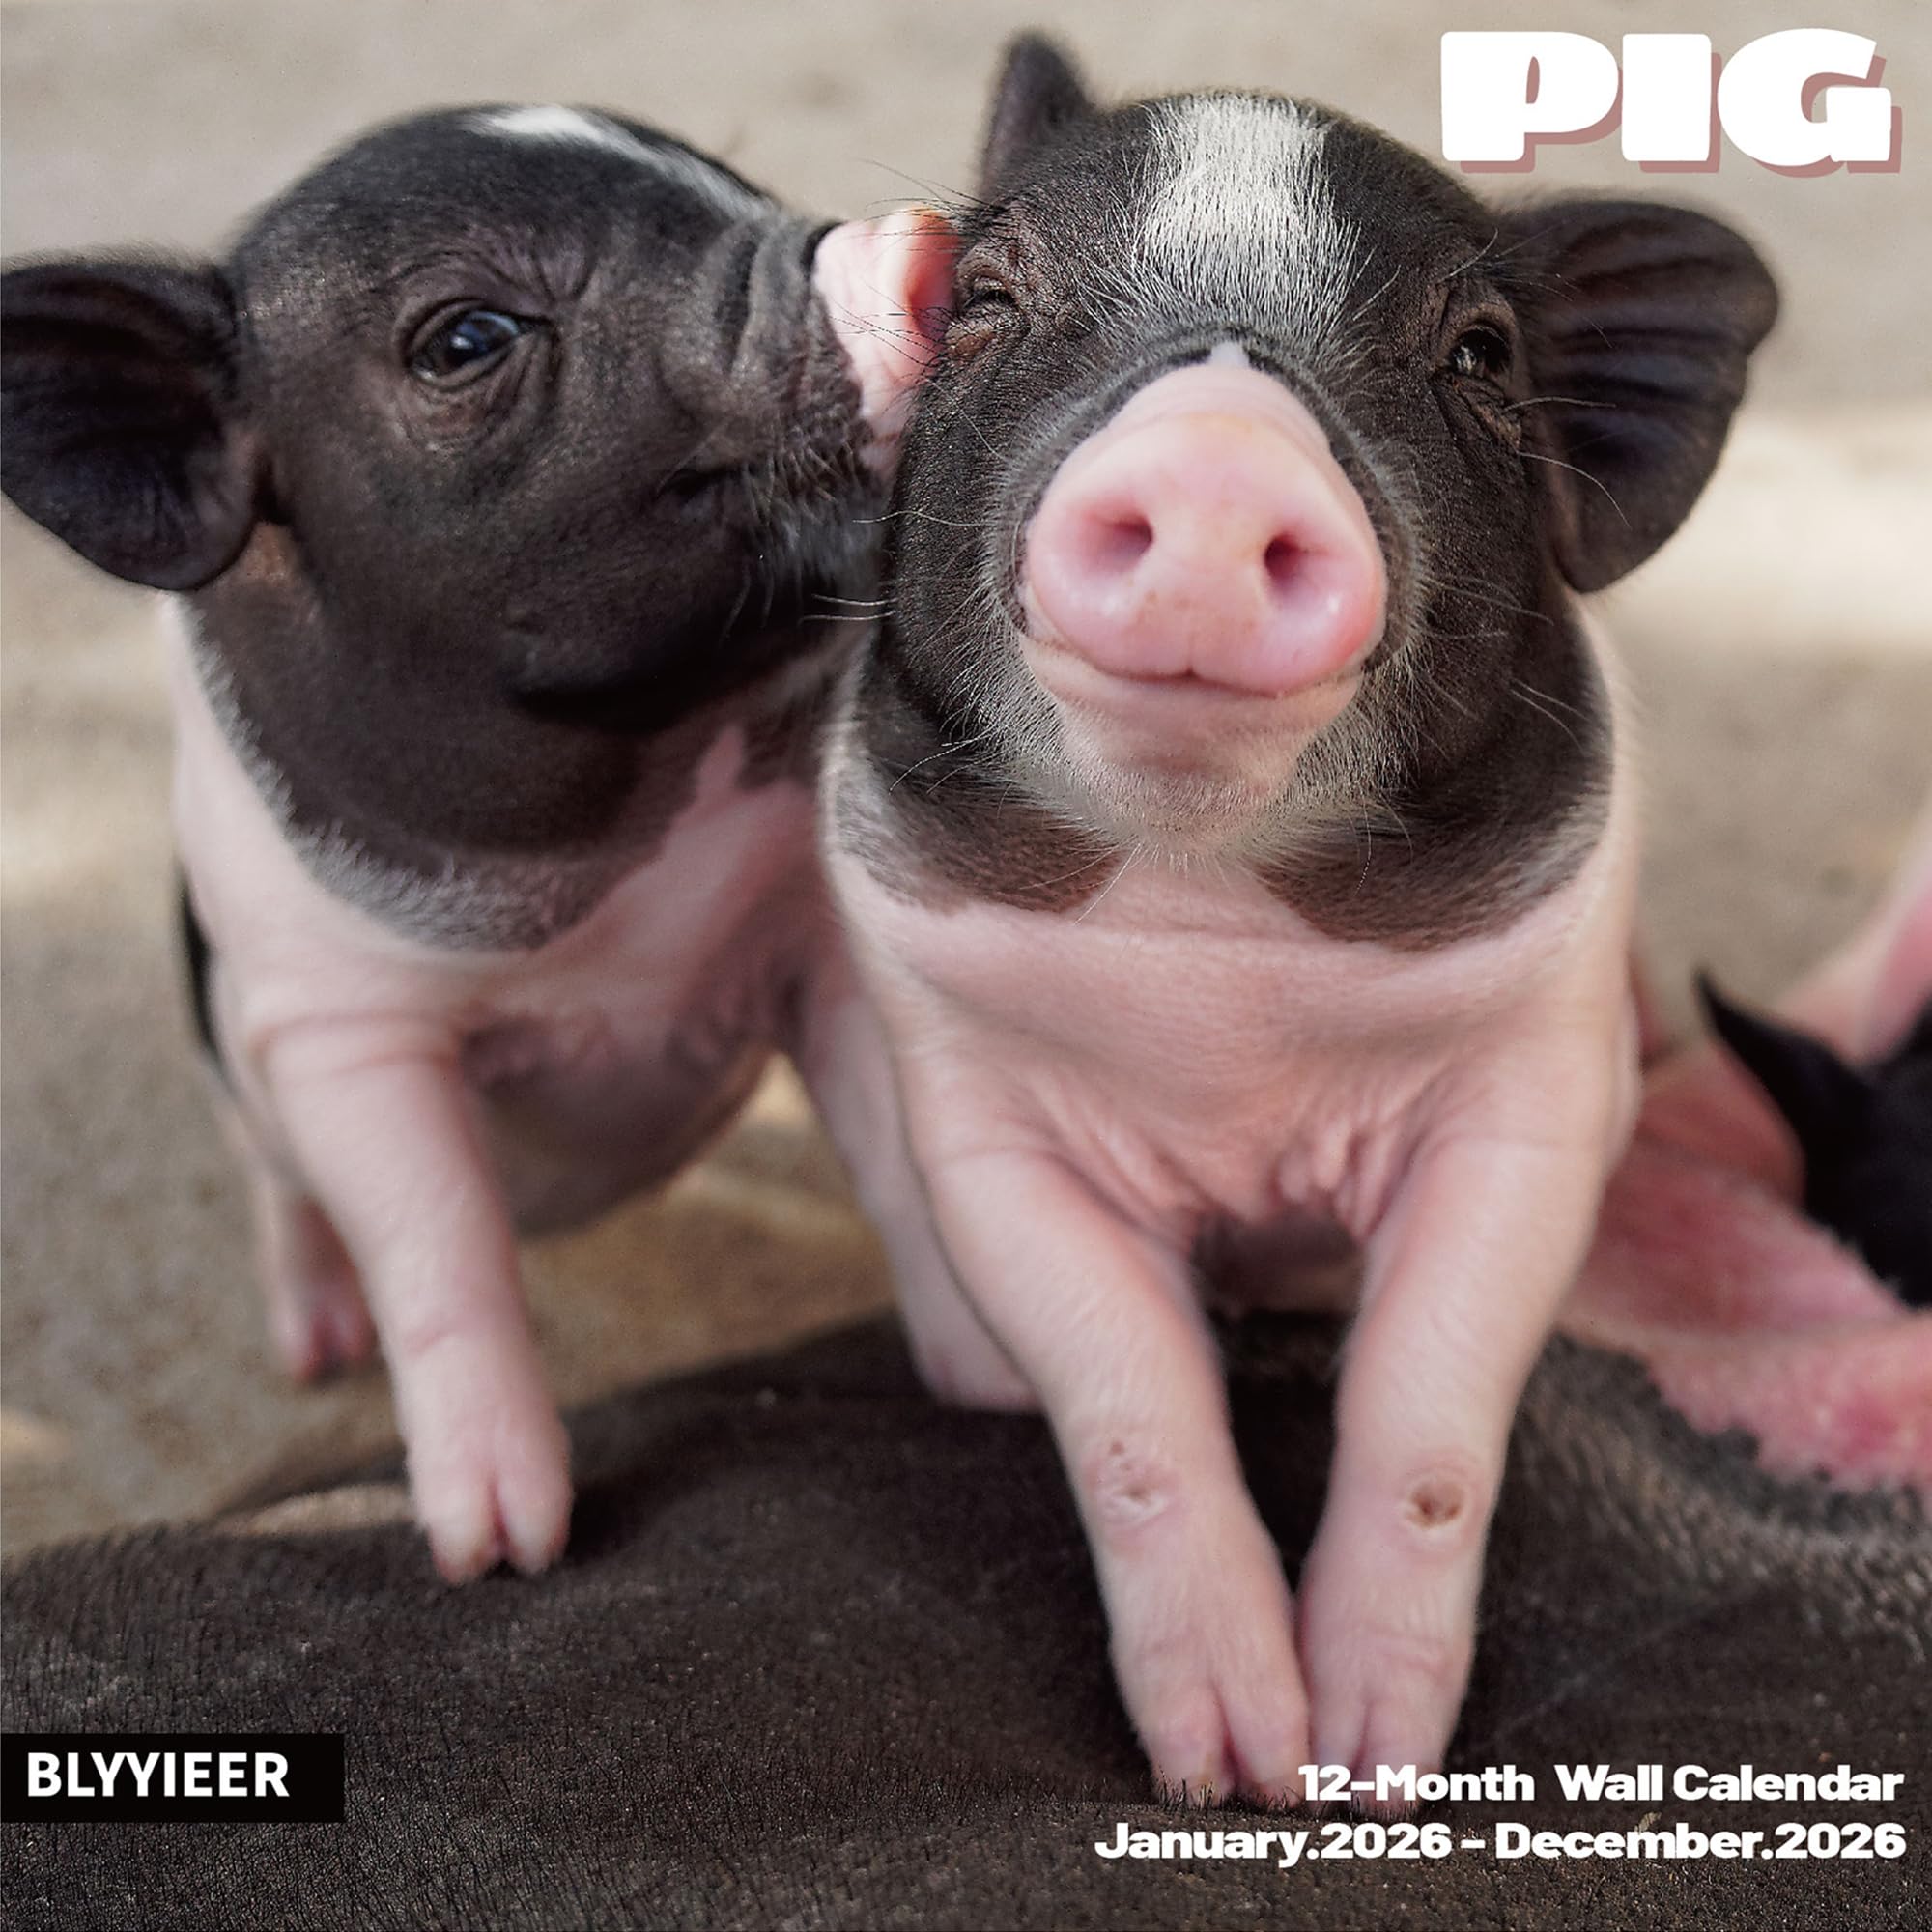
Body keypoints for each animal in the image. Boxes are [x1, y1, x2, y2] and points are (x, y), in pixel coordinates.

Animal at [1, 106, 967, 1582]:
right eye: (464, 339)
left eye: (733, 187)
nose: (912, 239)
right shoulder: (338, 1029)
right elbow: (440, 1244)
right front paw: (503, 1547)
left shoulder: (813, 942)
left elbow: (895, 1155)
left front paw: (991, 1386)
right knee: (281, 1198)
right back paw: (313, 1351)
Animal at [818, 35, 1779, 1804]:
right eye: (986, 299)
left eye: (1477, 350)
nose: (1213, 456)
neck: (1225, 1014)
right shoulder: (983, 1115)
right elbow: (1130, 1420)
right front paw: (1225, 1773)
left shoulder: (1532, 1093)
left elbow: (1428, 1413)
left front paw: (1363, 1767)